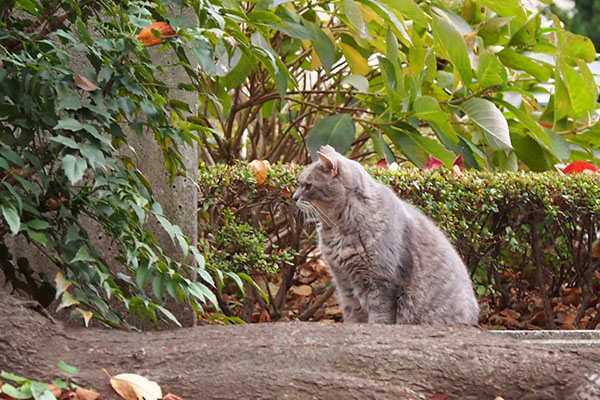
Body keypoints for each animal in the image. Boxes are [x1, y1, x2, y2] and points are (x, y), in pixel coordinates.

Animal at [292, 145, 480, 326]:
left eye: (308, 186)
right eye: (300, 183)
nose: (294, 197)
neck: (338, 228)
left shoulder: (381, 283)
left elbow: (380, 316)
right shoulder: (344, 282)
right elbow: (352, 314)